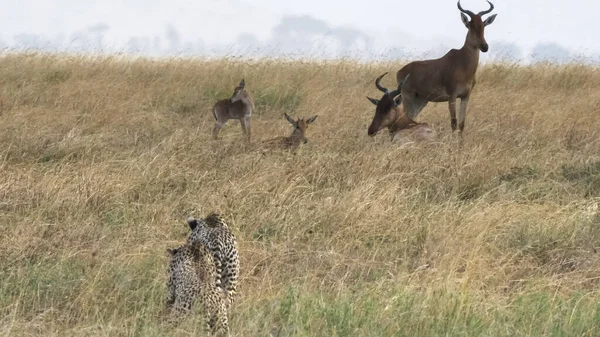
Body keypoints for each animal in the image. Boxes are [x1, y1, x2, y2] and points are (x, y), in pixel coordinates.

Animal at [366, 0, 496, 136]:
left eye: (483, 25)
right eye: (470, 25)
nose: (484, 46)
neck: (463, 64)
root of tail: (400, 71)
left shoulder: (466, 96)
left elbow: (461, 125)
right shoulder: (452, 96)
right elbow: (453, 123)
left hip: (421, 101)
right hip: (408, 97)